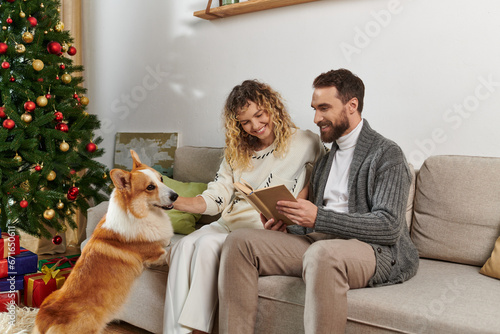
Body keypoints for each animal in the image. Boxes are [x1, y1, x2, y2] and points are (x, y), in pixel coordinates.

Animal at [33, 151, 178, 334]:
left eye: (161, 179)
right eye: (150, 187)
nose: (176, 196)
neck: (139, 214)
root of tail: (45, 322)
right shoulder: (155, 256)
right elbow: (168, 252)